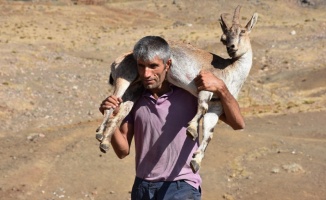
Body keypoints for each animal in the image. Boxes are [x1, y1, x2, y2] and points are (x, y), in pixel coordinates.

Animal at [95, 5, 258, 172]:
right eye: (223, 38)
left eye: (242, 31)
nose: (232, 48)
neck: (229, 72)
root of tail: (120, 58)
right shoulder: (205, 88)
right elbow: (202, 107)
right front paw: (191, 130)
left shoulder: (217, 105)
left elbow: (209, 133)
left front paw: (196, 162)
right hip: (124, 78)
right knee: (112, 104)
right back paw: (100, 133)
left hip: (135, 90)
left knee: (120, 113)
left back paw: (105, 143)